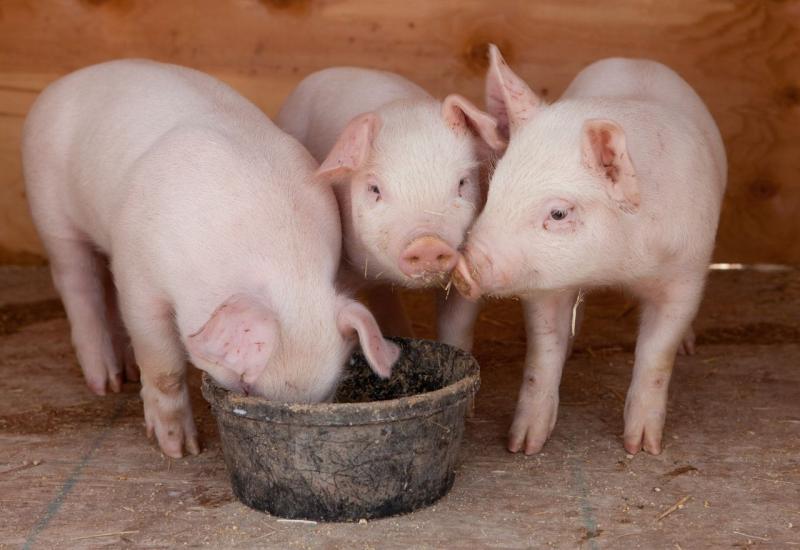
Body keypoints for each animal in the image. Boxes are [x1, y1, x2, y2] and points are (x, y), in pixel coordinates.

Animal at [23, 58, 398, 460]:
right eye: (244, 385)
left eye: (327, 394)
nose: (182, 450)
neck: (286, 269)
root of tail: (60, 84)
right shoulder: (138, 275)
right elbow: (163, 367)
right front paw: (180, 450)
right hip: (50, 211)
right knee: (78, 285)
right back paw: (104, 384)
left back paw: (124, 374)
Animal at [456, 45, 724, 454]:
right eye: (495, 188)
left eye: (558, 212)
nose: (463, 265)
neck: (619, 268)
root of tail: (636, 60)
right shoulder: (544, 285)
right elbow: (543, 353)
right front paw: (523, 446)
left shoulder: (686, 274)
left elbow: (656, 355)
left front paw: (642, 448)